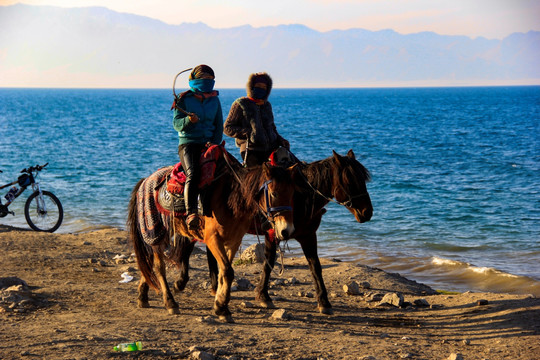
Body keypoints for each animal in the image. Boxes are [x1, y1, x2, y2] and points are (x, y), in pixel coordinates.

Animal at [127, 150, 298, 322]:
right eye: (274, 193)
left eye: (292, 194)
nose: (286, 230)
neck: (230, 198)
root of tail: (145, 181)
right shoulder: (213, 239)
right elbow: (227, 271)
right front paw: (222, 308)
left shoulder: (233, 241)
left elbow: (224, 272)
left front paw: (220, 305)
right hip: (156, 233)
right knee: (158, 267)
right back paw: (170, 302)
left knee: (149, 264)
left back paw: (143, 296)